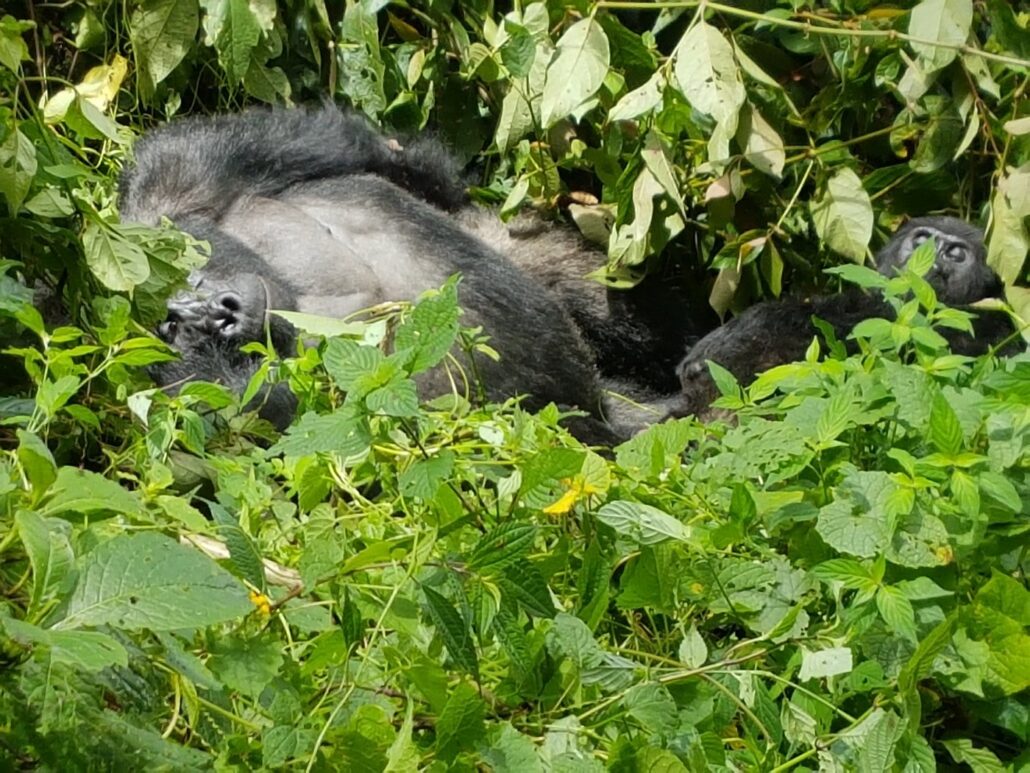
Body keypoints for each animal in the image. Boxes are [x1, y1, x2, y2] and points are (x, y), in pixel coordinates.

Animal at [118, 106, 692, 441]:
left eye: (190, 285)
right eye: (175, 327)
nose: (218, 316)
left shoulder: (175, 190)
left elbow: (368, 150)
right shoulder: (227, 393)